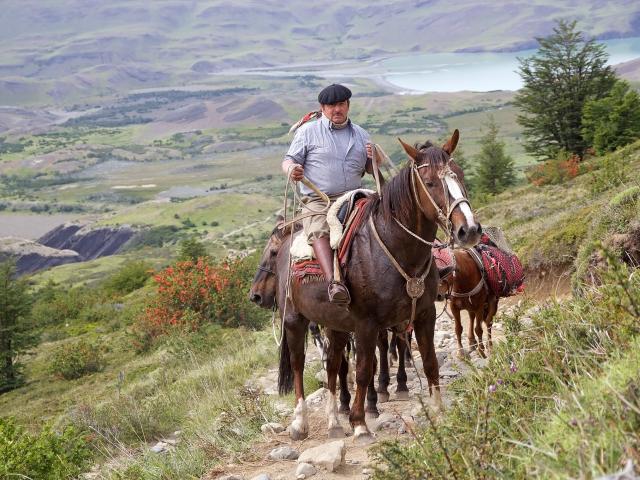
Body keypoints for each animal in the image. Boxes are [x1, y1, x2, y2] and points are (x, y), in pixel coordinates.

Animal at [275, 130, 481, 444]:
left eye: (459, 175)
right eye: (431, 182)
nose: (468, 230)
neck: (394, 247)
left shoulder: (424, 315)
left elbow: (430, 361)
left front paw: (438, 410)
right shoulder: (366, 324)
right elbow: (363, 370)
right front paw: (360, 424)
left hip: (334, 324)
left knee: (332, 365)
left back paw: (334, 422)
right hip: (294, 318)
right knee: (299, 364)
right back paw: (300, 423)